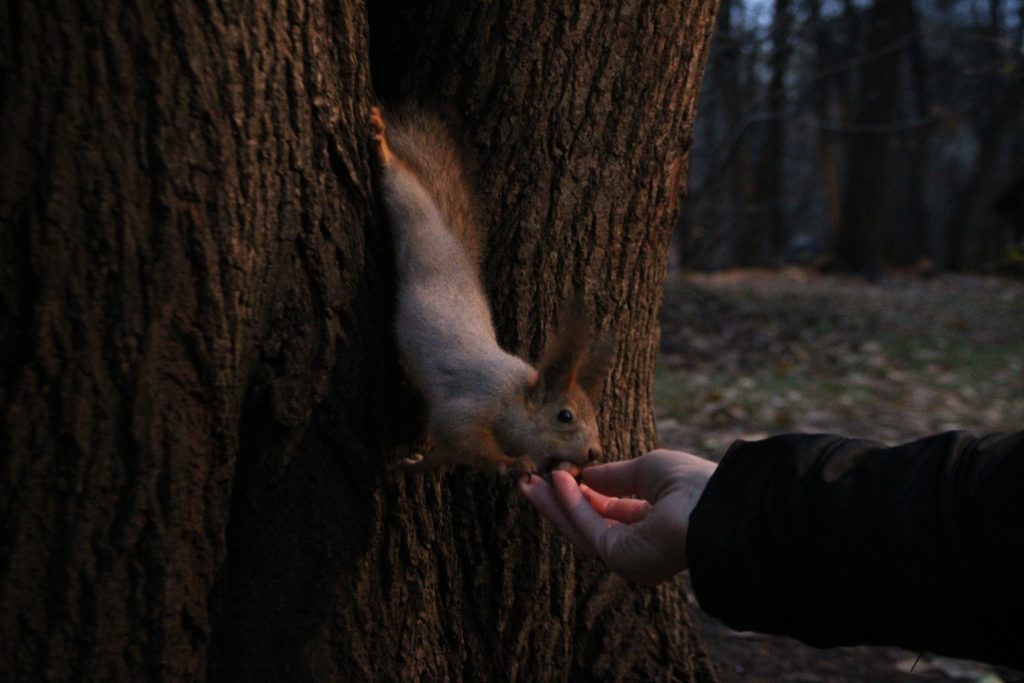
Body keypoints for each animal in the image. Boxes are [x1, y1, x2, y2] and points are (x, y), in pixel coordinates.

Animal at [368, 108, 606, 475]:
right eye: (564, 416)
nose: (596, 453)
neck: (515, 395)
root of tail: (457, 256)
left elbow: (445, 454)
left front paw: (415, 464)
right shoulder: (475, 402)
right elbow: (464, 434)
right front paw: (514, 462)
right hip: (423, 237)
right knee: (408, 195)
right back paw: (383, 150)